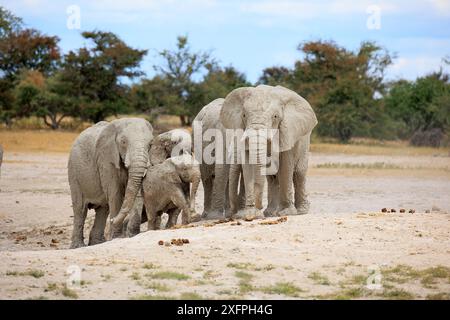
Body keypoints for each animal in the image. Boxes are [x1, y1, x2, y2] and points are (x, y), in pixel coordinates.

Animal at [67, 117, 154, 248]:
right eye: (123, 142)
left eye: (150, 144)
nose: (112, 221)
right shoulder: (106, 159)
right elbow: (115, 194)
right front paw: (117, 238)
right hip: (74, 173)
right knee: (80, 209)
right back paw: (78, 246)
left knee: (103, 209)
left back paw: (97, 243)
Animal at [220, 84, 318, 218]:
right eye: (244, 115)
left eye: (275, 117)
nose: (259, 206)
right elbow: (248, 165)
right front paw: (249, 214)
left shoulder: (287, 131)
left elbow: (286, 166)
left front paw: (286, 212)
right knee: (272, 177)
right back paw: (270, 213)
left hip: (304, 141)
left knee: (299, 173)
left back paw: (300, 211)